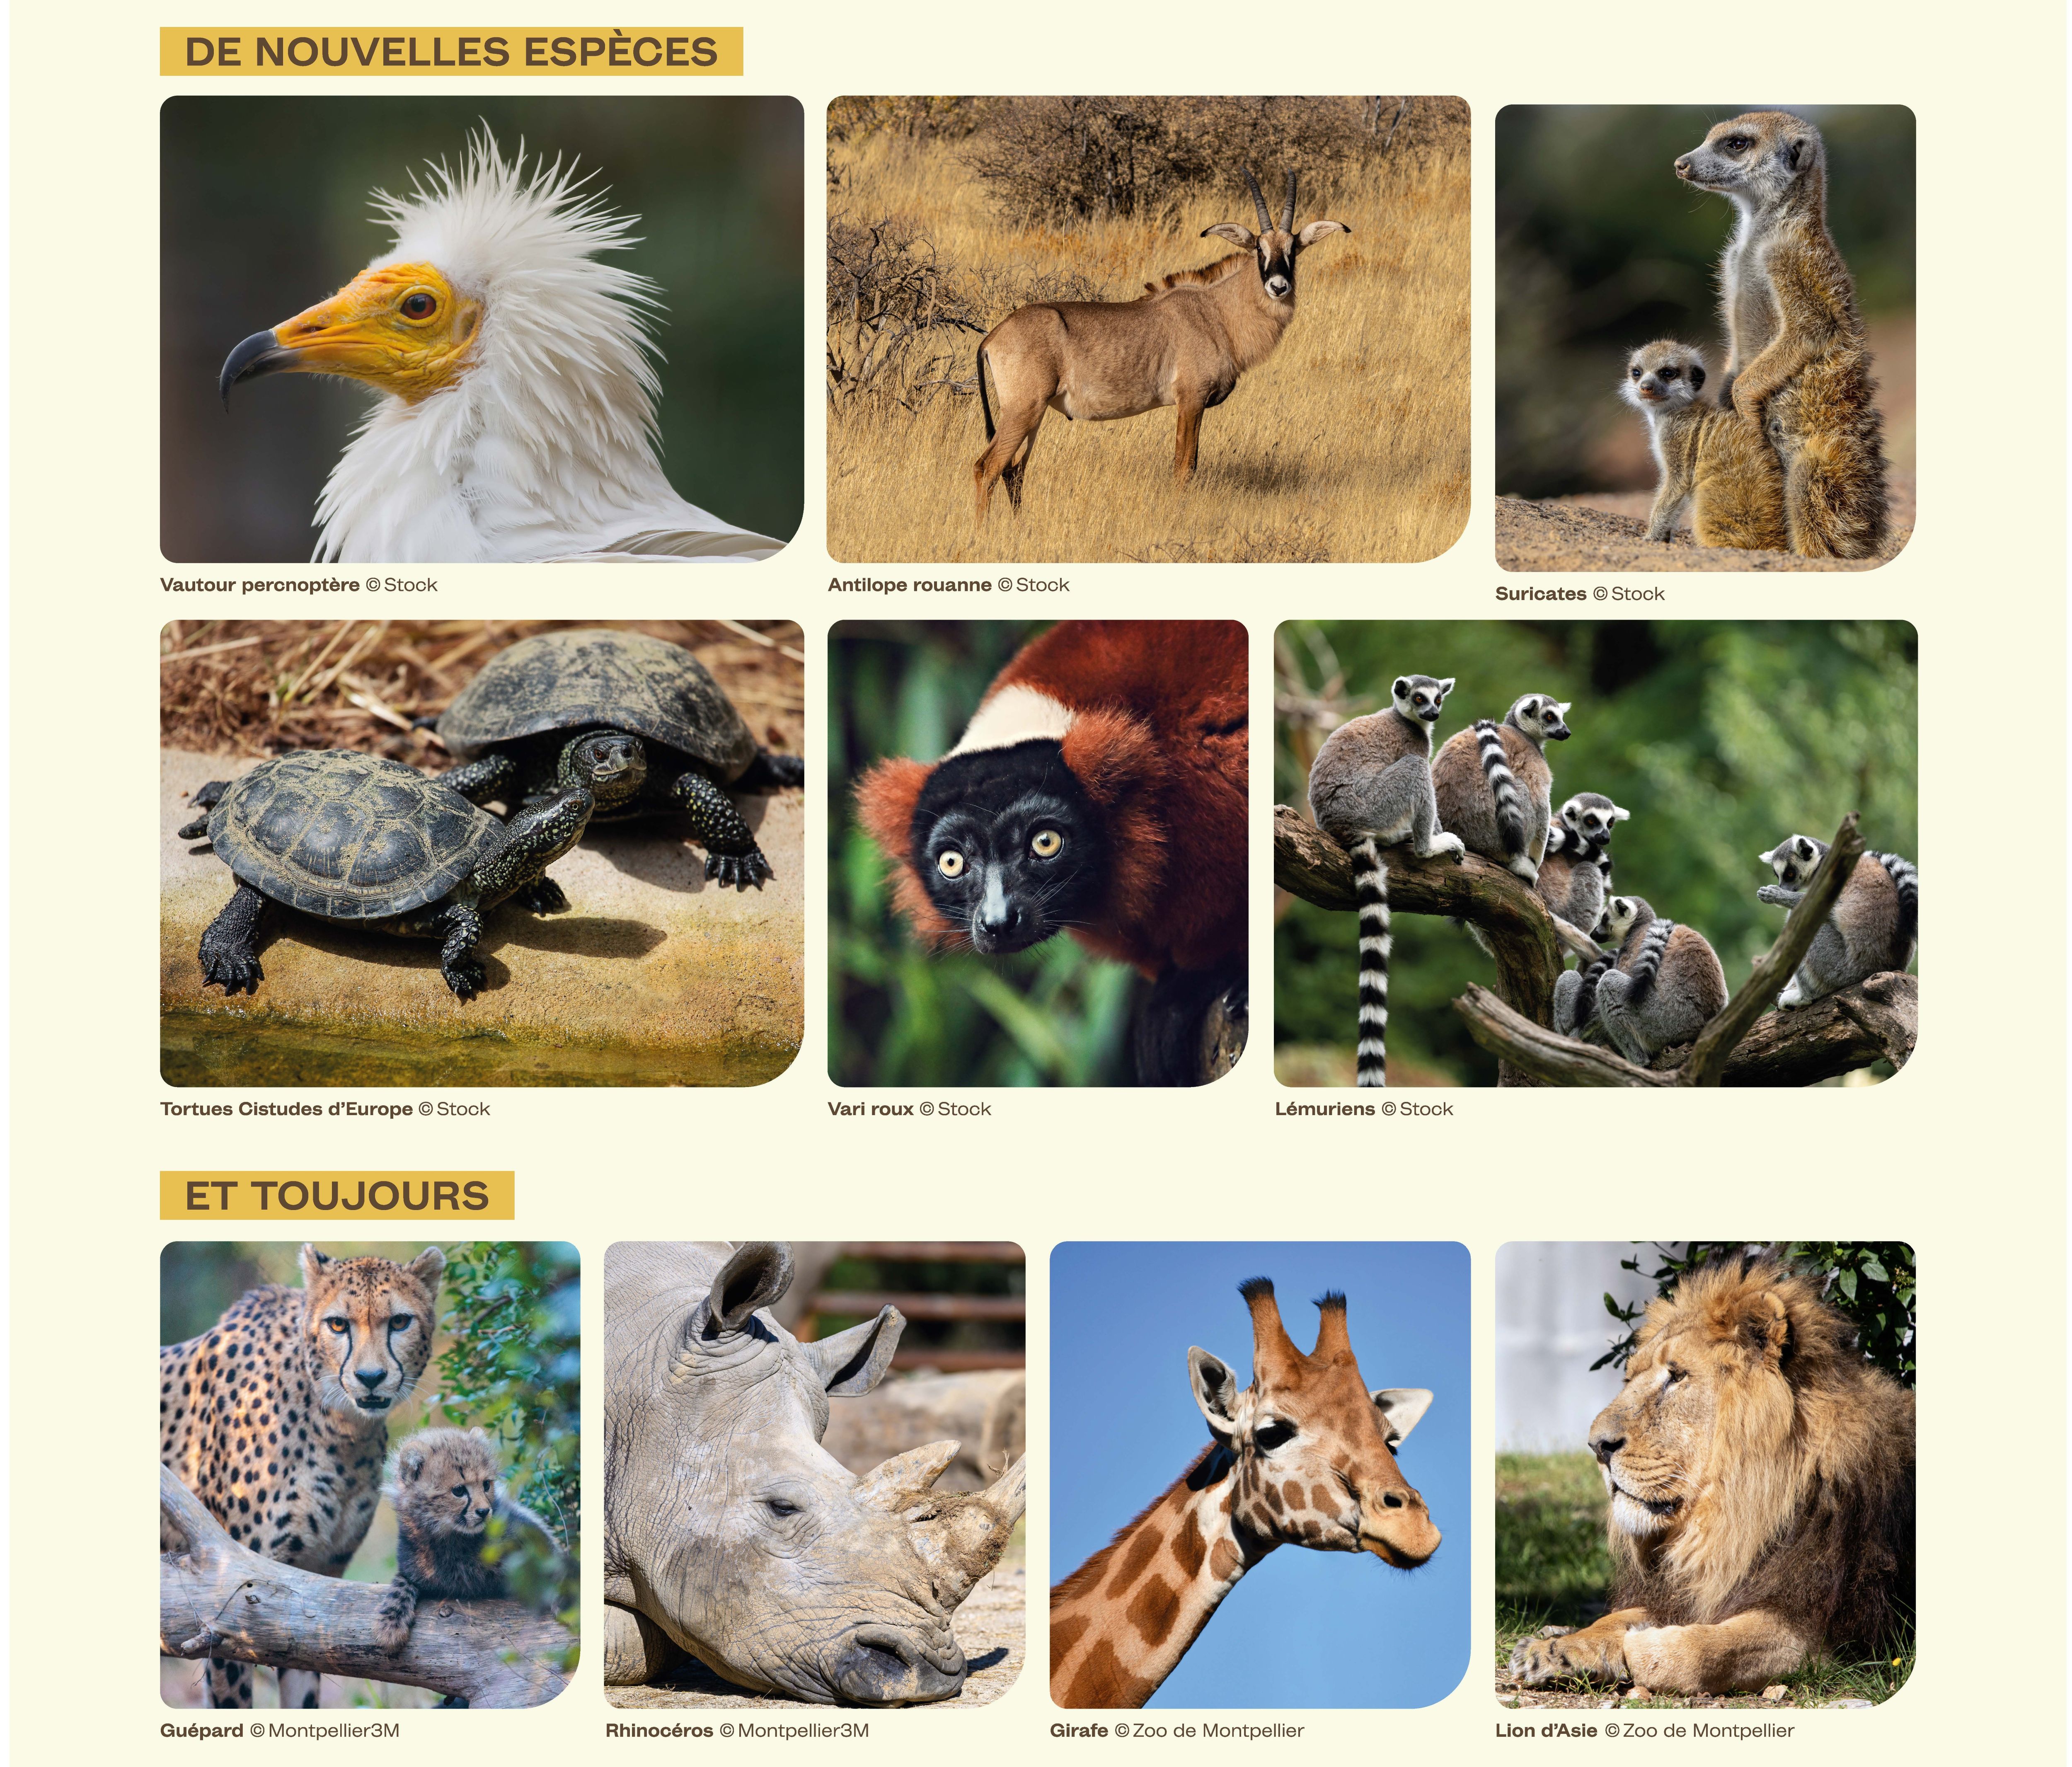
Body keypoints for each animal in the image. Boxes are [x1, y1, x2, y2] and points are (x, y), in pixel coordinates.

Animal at [1509, 1256, 1913, 1695]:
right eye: (1630, 1378)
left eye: (1677, 1376)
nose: (1597, 1446)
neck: (1727, 1520)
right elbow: (1618, 1616)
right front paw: (1552, 1648)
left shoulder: (1830, 1634)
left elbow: (1706, 1648)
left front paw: (1643, 1642)